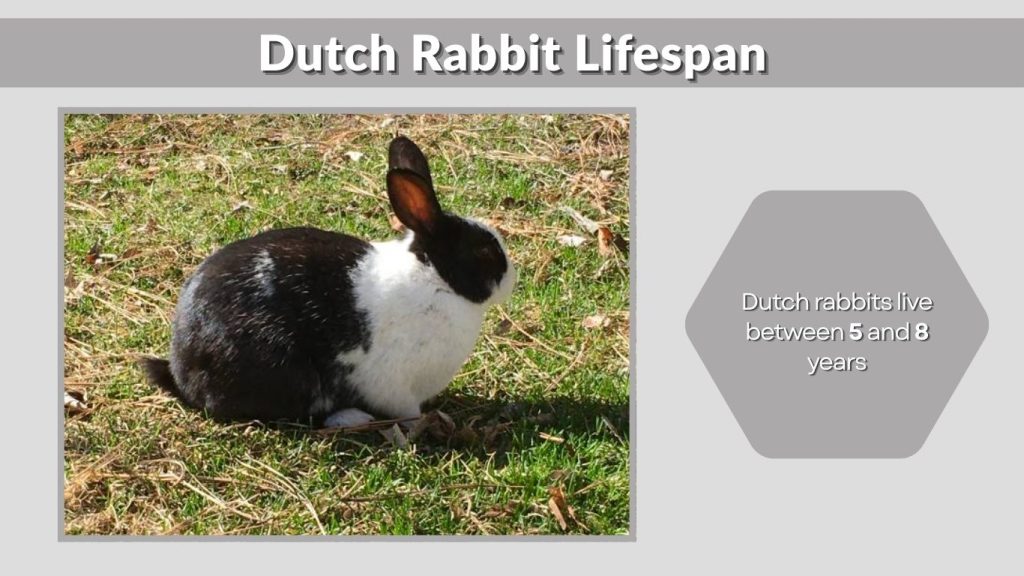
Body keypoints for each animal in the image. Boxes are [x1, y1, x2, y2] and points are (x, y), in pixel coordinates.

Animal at [140, 136, 516, 429]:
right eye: (483, 252)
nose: (513, 278)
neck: (434, 279)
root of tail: (181, 371)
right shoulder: (396, 389)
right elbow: (407, 412)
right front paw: (428, 425)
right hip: (285, 372)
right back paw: (350, 417)